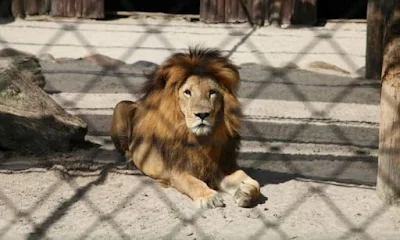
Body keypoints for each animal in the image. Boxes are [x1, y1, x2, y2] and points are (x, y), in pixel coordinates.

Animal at [110, 46, 260, 208]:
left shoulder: (220, 166)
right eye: (187, 92)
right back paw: (130, 161)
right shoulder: (176, 171)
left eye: (212, 92)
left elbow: (251, 181)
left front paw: (245, 192)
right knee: (125, 149)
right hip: (120, 107)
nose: (202, 114)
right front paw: (209, 197)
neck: (201, 140)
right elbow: (193, 183)